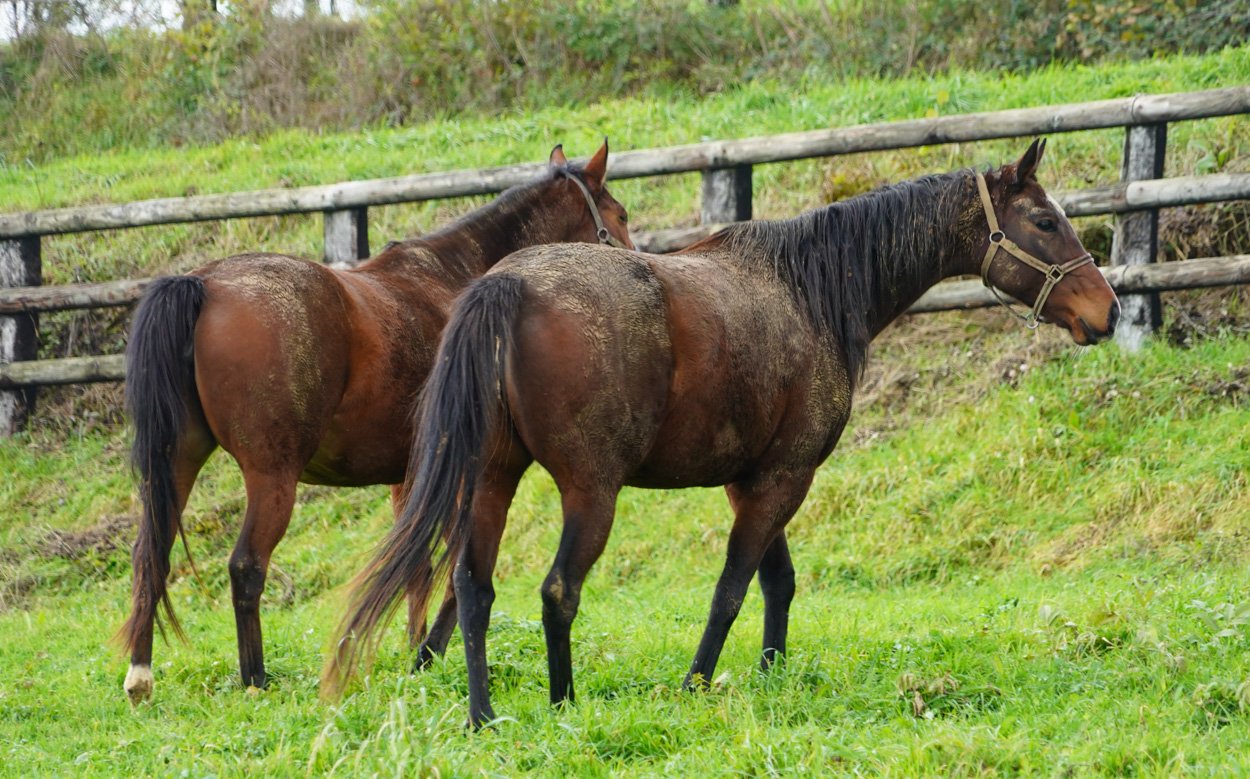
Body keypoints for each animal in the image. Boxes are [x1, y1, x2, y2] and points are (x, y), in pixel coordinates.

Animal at [119, 142, 634, 704]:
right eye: (621, 215)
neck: (453, 278)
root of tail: (202, 283)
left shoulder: (407, 477)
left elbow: (416, 564)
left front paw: (416, 651)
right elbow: (450, 567)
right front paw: (426, 651)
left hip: (177, 462)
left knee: (151, 553)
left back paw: (141, 673)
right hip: (271, 476)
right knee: (246, 566)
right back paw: (255, 678)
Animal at [323, 140, 1120, 727]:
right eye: (1045, 221)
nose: (1107, 311)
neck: (809, 290)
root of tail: (506, 284)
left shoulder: (756, 479)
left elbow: (778, 582)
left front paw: (771, 675)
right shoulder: (784, 477)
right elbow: (733, 588)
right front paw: (697, 682)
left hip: (492, 481)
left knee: (474, 588)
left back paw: (483, 714)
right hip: (590, 492)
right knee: (557, 590)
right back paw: (563, 702)